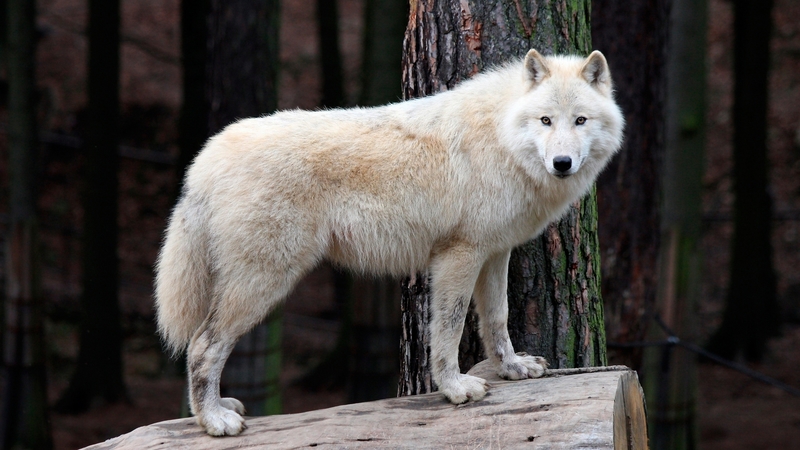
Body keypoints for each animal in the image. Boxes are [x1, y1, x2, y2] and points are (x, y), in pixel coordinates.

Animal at [155, 49, 624, 436]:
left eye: (580, 120)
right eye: (546, 121)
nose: (561, 163)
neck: (501, 137)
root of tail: (206, 158)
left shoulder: (494, 253)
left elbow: (497, 319)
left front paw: (511, 368)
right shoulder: (458, 255)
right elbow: (450, 328)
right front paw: (455, 388)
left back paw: (217, 409)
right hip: (264, 283)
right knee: (202, 346)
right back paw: (214, 420)